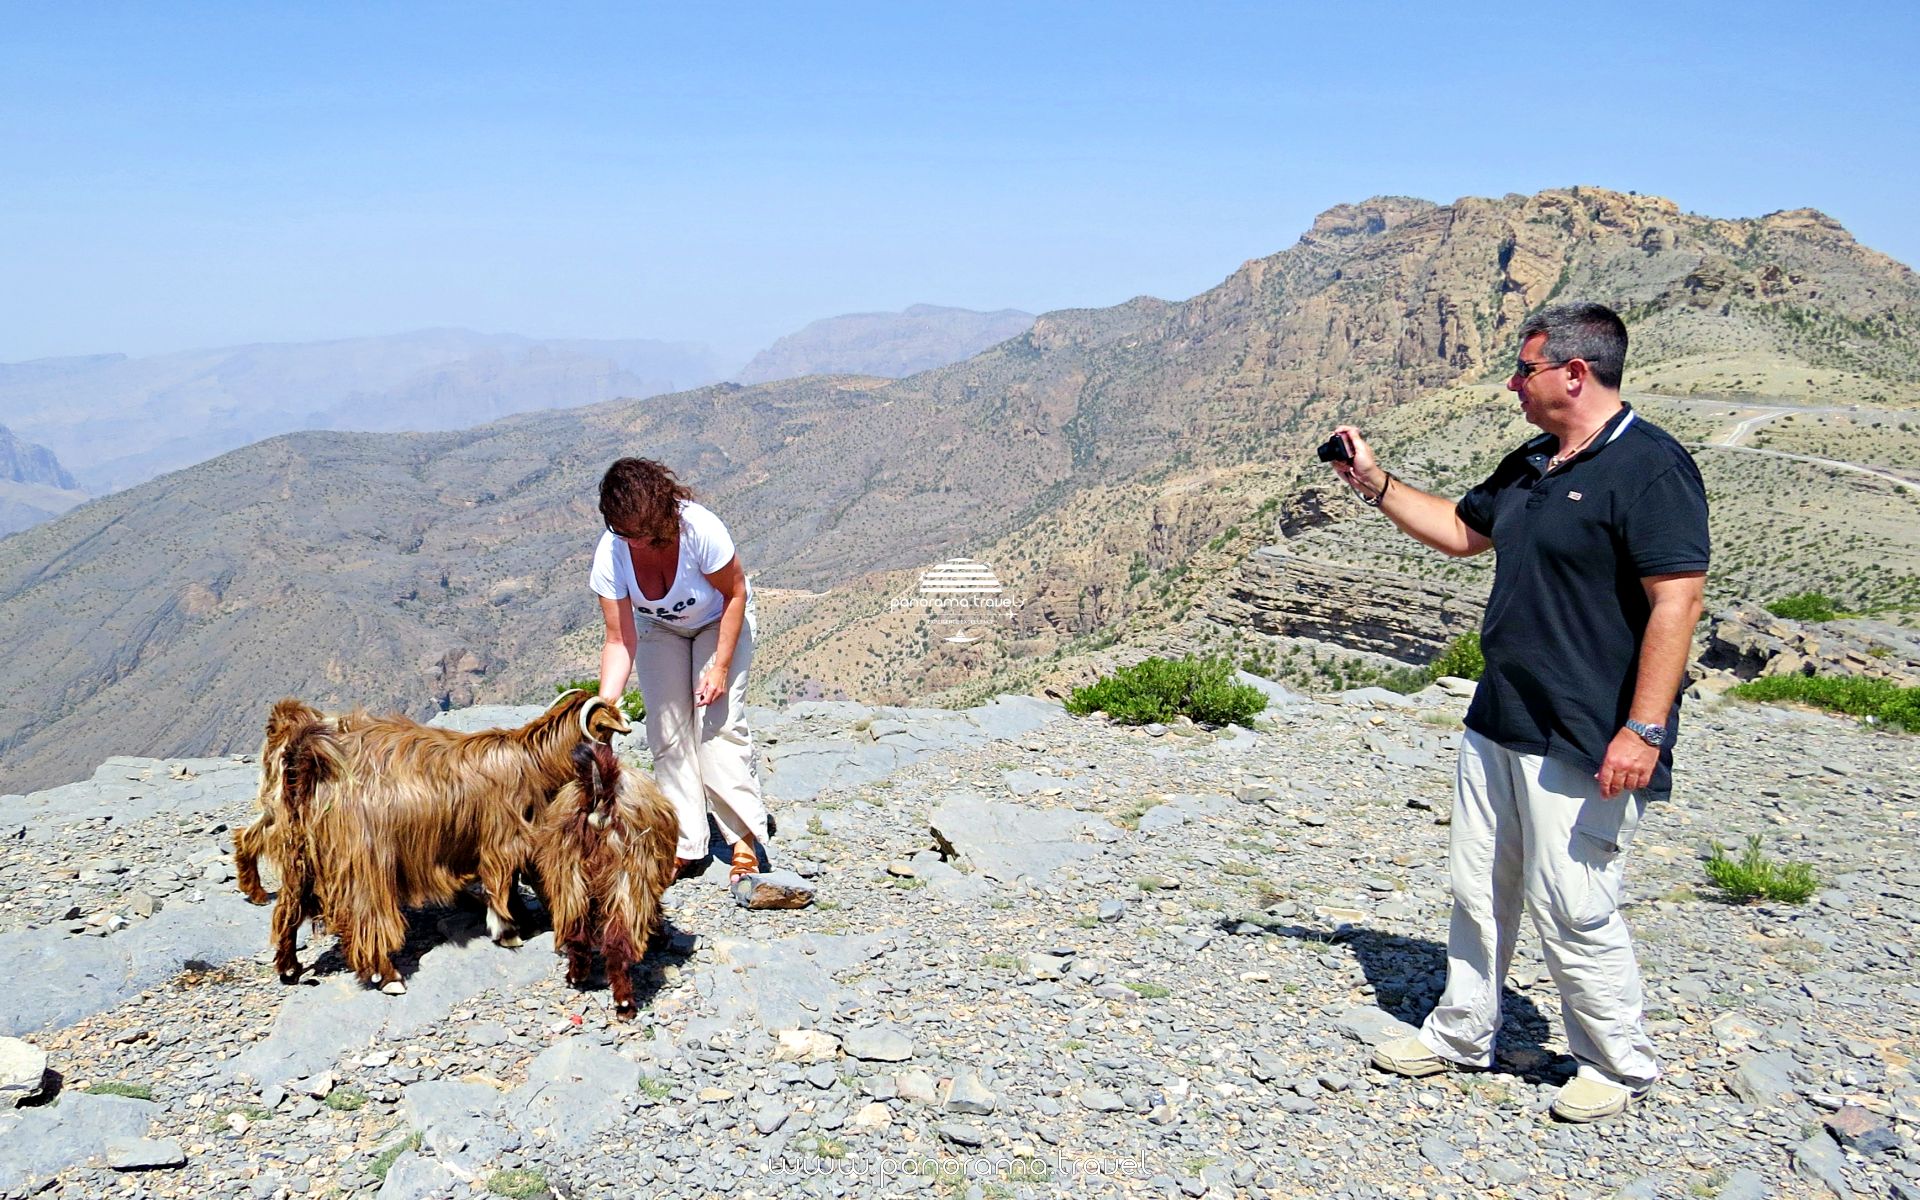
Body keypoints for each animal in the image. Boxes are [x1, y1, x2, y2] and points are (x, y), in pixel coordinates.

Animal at [235, 687, 629, 990]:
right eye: (607, 733)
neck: (532, 761)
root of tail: (305, 758)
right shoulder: (501, 841)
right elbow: (502, 883)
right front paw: (508, 931)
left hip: (300, 851)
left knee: (288, 907)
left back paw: (289, 967)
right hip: (364, 859)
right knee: (367, 915)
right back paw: (387, 976)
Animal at [533, 733, 683, 1013]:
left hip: (569, 873)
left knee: (577, 931)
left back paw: (577, 975)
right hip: (627, 876)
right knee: (618, 941)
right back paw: (624, 1001)